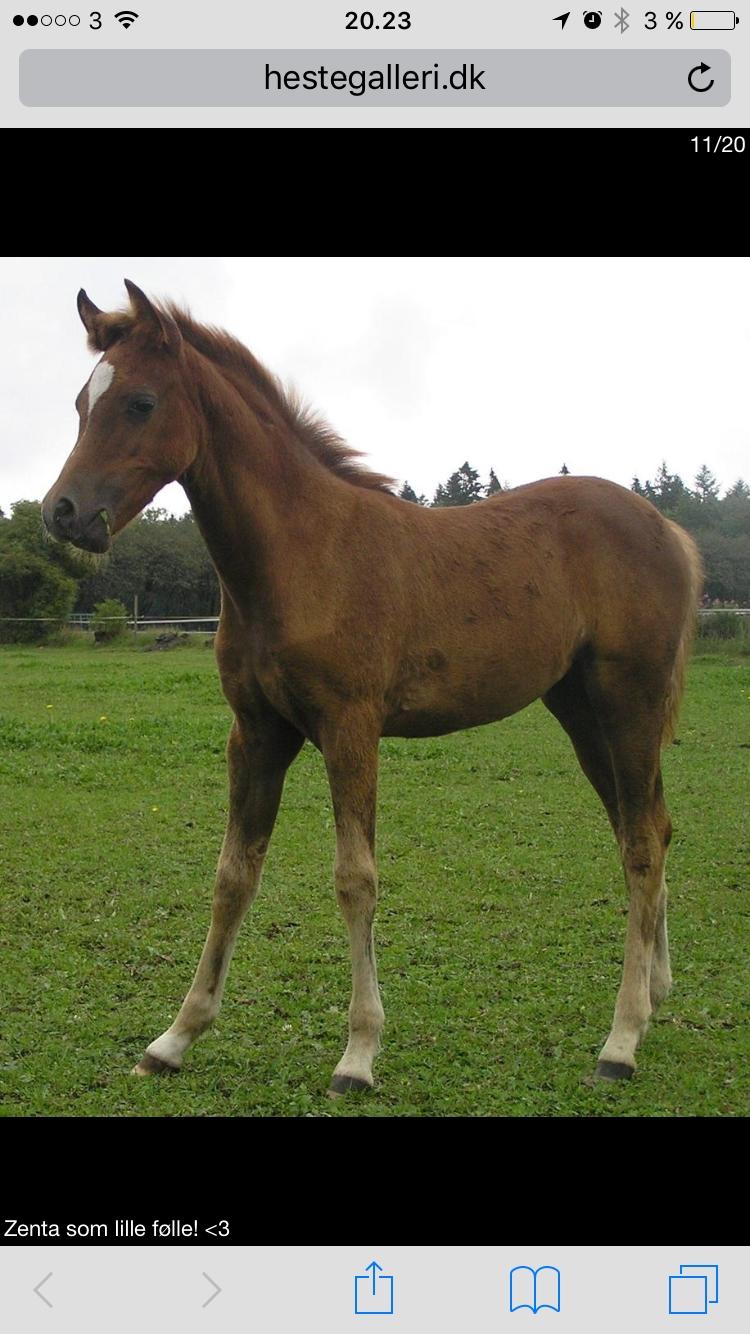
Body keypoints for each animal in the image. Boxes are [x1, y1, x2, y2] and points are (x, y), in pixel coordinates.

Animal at [42, 280, 702, 1096]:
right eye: (81, 400)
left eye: (139, 402)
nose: (63, 513)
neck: (303, 553)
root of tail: (666, 530)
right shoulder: (256, 732)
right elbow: (233, 875)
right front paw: (175, 1037)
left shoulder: (349, 727)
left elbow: (355, 878)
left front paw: (357, 1054)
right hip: (584, 716)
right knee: (648, 829)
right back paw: (657, 993)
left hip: (629, 705)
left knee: (641, 844)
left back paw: (622, 1039)